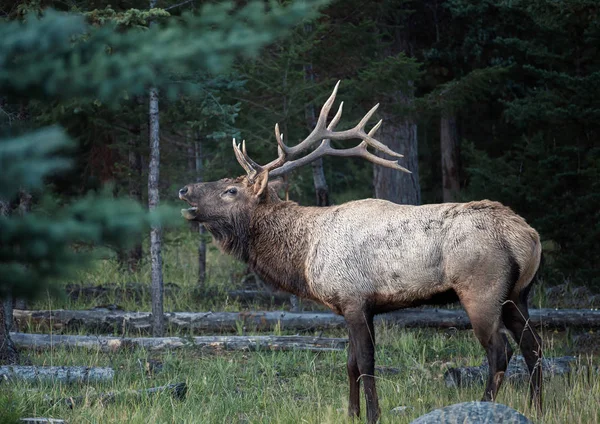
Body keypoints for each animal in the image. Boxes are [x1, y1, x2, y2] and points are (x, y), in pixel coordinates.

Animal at [178, 81, 544, 422]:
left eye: (231, 190)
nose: (184, 189)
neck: (304, 257)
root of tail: (527, 235)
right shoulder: (350, 306)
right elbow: (350, 364)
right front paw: (351, 413)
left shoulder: (355, 299)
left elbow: (366, 363)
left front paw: (372, 414)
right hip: (517, 293)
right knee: (534, 346)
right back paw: (536, 407)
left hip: (480, 289)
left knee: (499, 351)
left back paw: (485, 405)